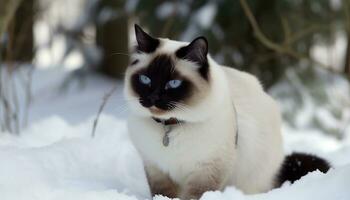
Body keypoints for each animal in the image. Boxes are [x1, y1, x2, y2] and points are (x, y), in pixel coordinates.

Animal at [123, 25, 330, 200]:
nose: (153, 98)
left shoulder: (207, 170)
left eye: (173, 83)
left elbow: (196, 194)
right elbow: (163, 194)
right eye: (145, 79)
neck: (170, 128)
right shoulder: (156, 169)